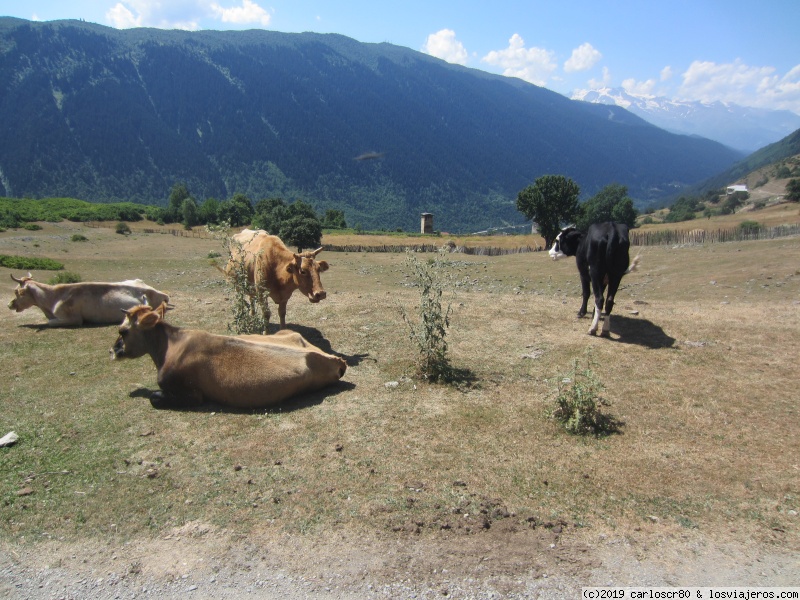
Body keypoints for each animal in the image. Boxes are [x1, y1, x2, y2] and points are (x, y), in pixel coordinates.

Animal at [110, 302, 346, 410]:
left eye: (123, 331)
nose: (113, 350)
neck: (172, 345)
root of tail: (337, 360)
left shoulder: (192, 394)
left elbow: (154, 397)